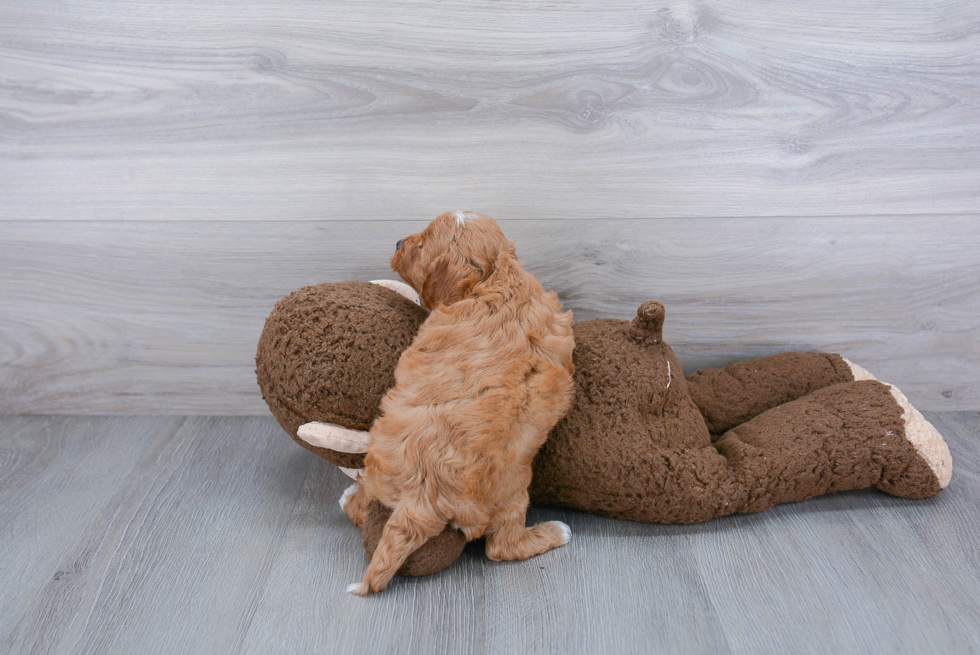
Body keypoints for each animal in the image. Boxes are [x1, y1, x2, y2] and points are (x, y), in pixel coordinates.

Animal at [342, 213, 576, 596]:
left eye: (421, 245)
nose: (397, 242)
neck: (495, 279)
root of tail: (422, 500)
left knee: (501, 547)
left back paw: (556, 531)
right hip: (512, 490)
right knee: (500, 545)